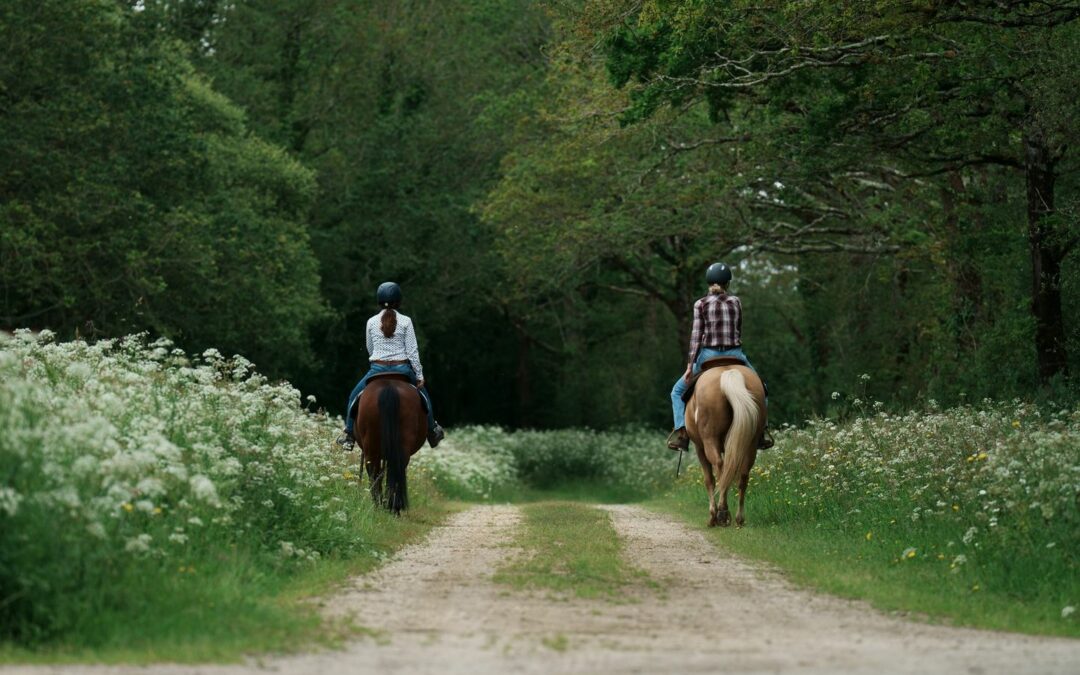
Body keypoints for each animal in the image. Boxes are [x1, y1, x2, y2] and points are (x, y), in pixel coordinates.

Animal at [352, 375, 423, 514]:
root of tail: (389, 386)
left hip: (372, 447)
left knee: (375, 472)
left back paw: (381, 506)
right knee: (391, 469)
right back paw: (390, 506)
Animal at [682, 362, 768, 527]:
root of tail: (729, 372)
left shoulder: (699, 448)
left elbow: (709, 479)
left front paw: (712, 516)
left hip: (710, 440)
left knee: (719, 467)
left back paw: (721, 512)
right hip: (751, 442)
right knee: (743, 474)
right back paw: (739, 518)